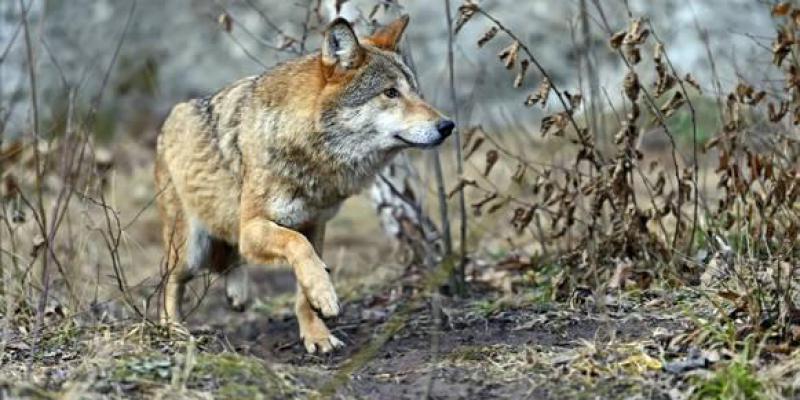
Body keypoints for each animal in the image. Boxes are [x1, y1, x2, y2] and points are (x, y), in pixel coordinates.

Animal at [155, 15, 456, 354]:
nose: (447, 125)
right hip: (189, 249)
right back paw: (174, 332)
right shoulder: (255, 227)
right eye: (390, 93)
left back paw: (238, 295)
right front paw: (325, 295)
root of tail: (167, 123)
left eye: (415, 91)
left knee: (229, 259)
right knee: (169, 283)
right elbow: (297, 246)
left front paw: (316, 334)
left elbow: (303, 285)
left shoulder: (315, 225)